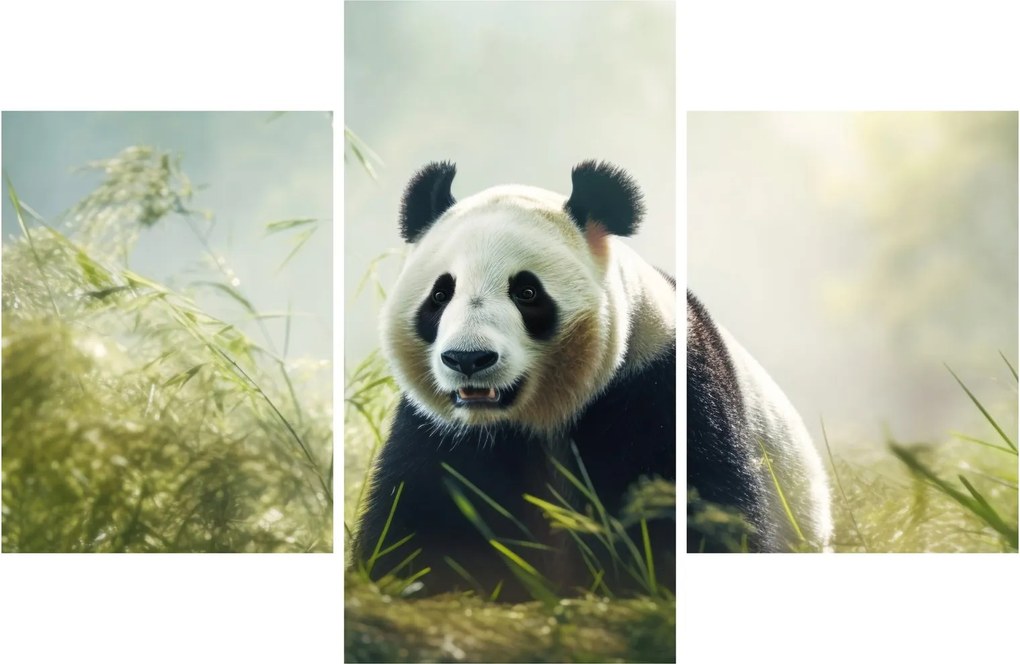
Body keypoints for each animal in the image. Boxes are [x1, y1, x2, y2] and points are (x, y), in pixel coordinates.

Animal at [353, 160, 676, 599]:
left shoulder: (652, 390)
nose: (468, 359)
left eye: (526, 292)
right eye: (440, 295)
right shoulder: (437, 434)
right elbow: (414, 525)